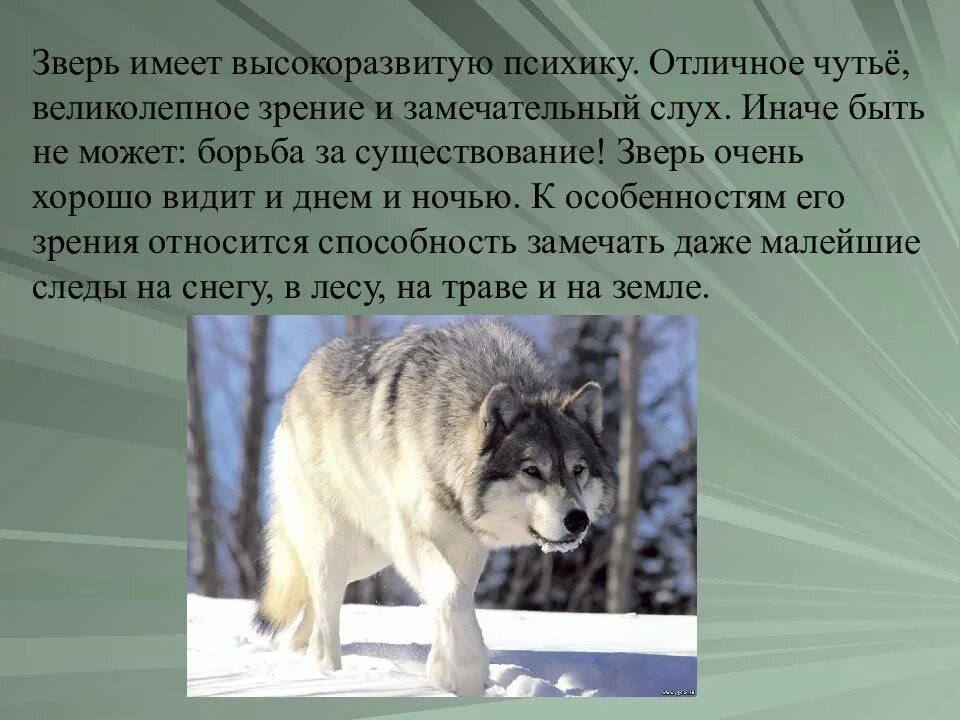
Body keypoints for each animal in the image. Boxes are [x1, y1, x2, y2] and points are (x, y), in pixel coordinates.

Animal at [255, 320, 616, 695]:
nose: (578, 520)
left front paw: (447, 670)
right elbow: (452, 593)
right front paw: (464, 672)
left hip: (368, 557)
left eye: (578, 470)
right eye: (532, 471)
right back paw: (328, 672)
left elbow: (457, 597)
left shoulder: (468, 545)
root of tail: (302, 377)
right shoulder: (410, 536)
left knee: (311, 601)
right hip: (339, 546)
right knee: (324, 612)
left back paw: (298, 651)